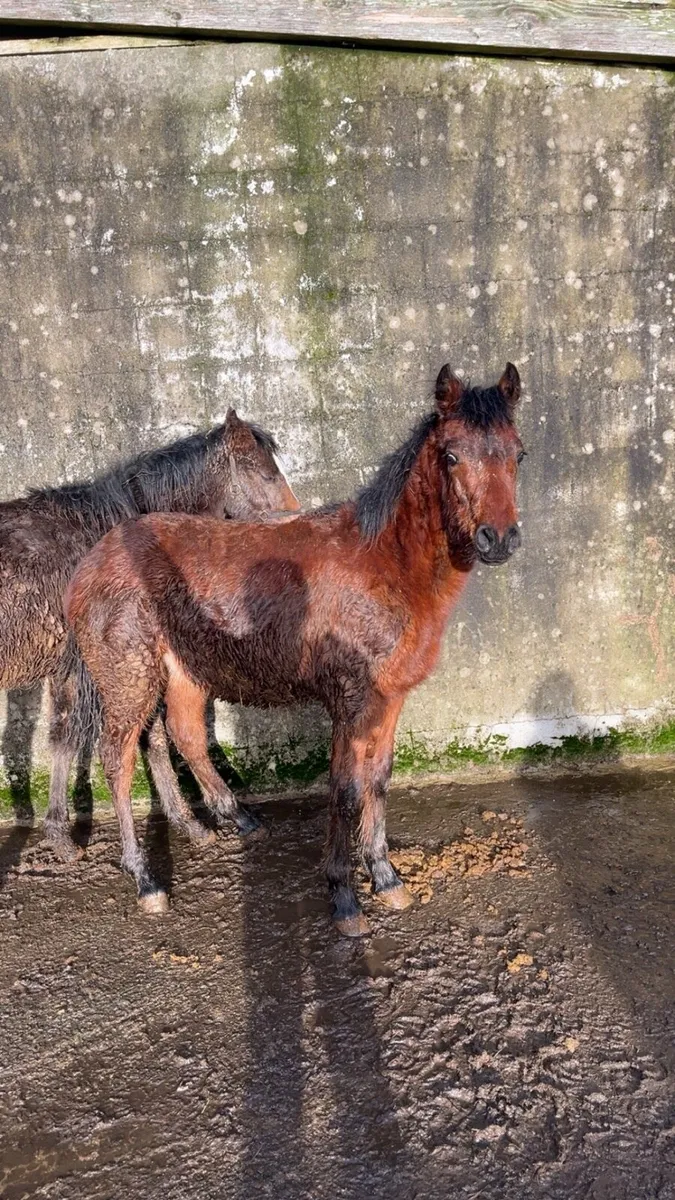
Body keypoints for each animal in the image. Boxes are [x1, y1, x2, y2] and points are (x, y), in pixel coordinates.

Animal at [0, 409, 299, 863]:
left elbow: (67, 737)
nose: (296, 524)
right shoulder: (94, 670)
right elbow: (122, 738)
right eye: (267, 475)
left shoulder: (71, 670)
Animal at [65, 363, 525, 934]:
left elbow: (378, 780)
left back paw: (212, 824)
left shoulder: (390, 697)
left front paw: (386, 877)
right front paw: (345, 897)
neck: (384, 565)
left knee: (177, 736)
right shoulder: (350, 701)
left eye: (518, 453)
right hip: (128, 680)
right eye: (452, 456)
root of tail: (92, 561)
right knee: (118, 759)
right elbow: (346, 790)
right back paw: (146, 880)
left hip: (179, 673)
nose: (498, 538)